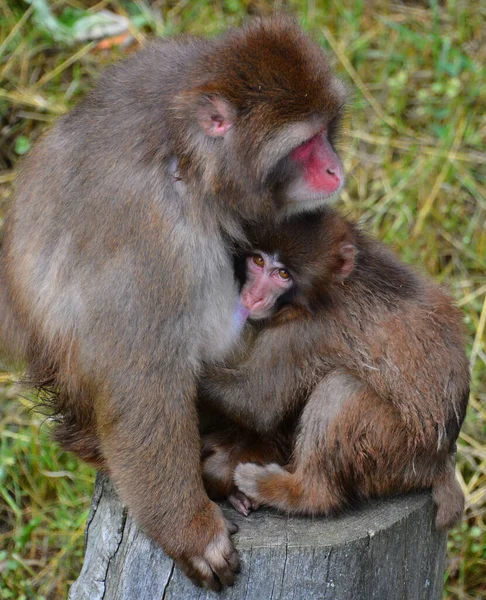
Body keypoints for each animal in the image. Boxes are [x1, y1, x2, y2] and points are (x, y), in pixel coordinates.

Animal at [0, 19, 350, 592]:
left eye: (326, 130)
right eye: (305, 143)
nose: (334, 168)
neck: (186, 156)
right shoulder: (157, 234)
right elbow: (139, 376)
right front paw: (190, 532)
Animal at [199, 210, 468, 528]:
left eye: (283, 274)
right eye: (258, 261)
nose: (253, 296)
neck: (328, 287)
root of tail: (441, 461)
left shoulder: (304, 334)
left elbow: (258, 404)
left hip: (400, 454)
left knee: (341, 389)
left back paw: (298, 492)